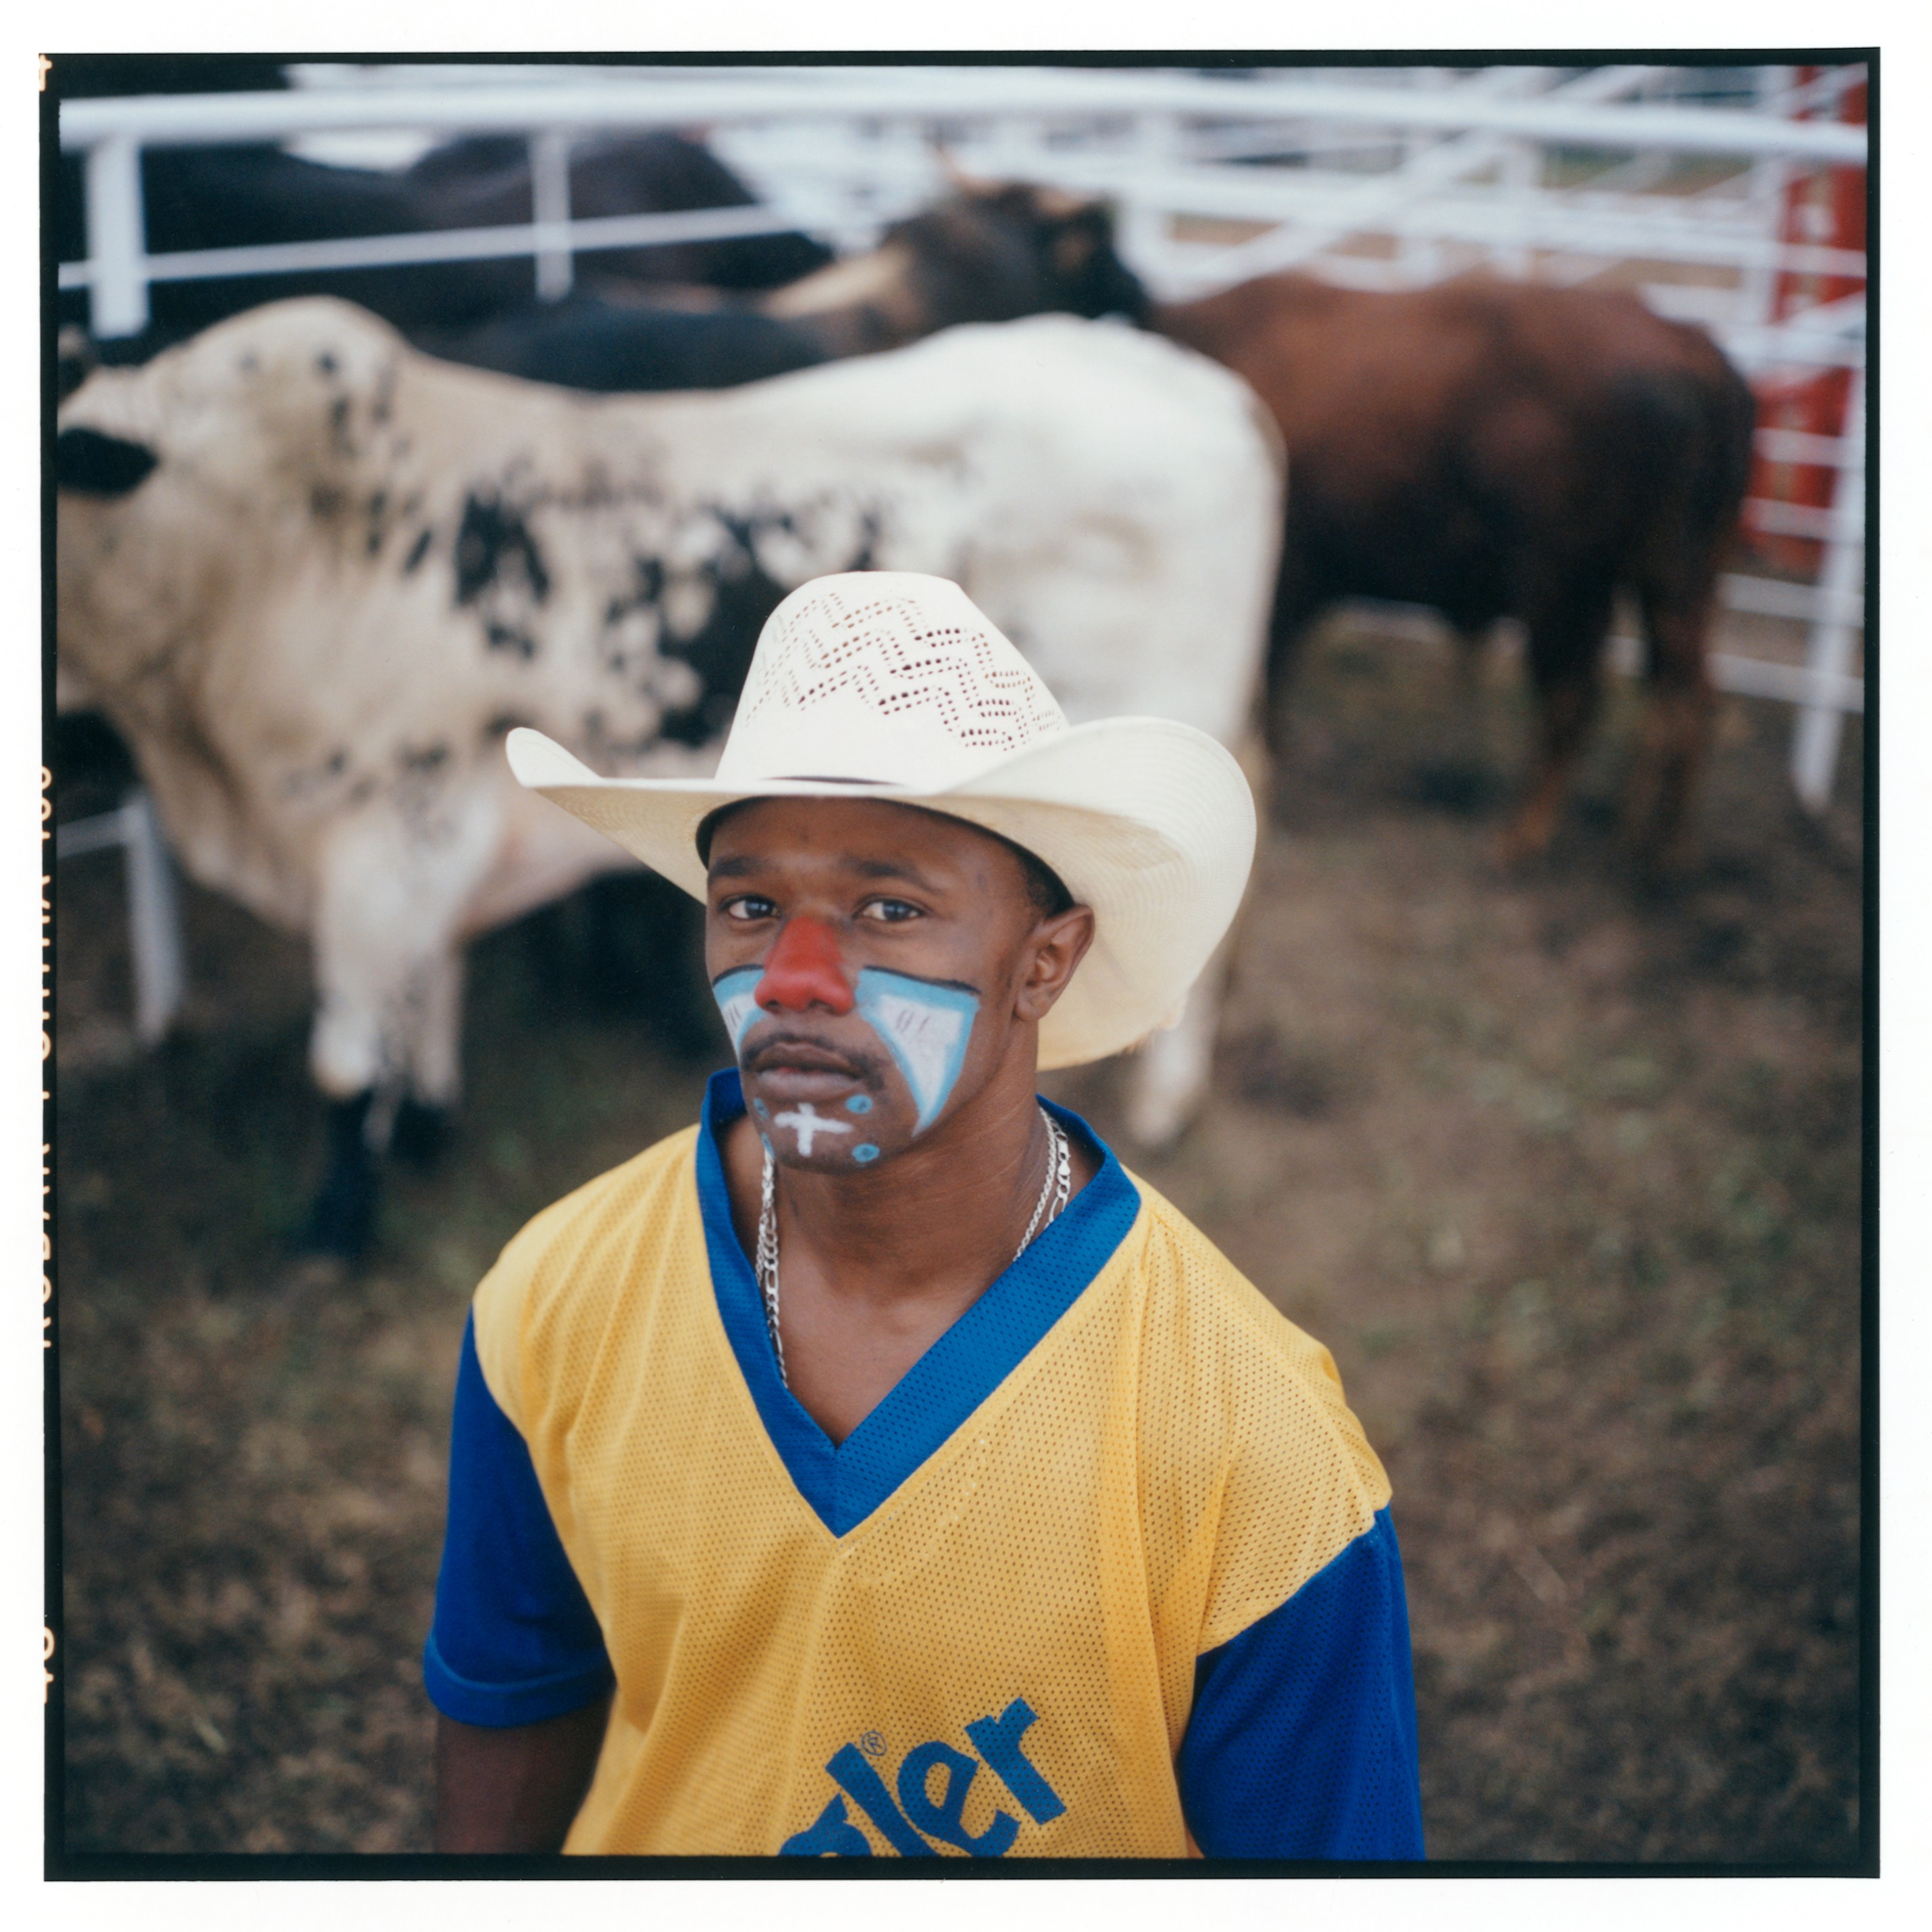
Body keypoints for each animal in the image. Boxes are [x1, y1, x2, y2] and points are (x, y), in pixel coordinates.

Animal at [56, 295, 1282, 1259]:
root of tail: (1199, 385)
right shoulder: (426, 832)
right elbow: (429, 990)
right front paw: (425, 1129)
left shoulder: (385, 827)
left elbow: (346, 1062)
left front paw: (335, 1222)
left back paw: (1166, 1094)